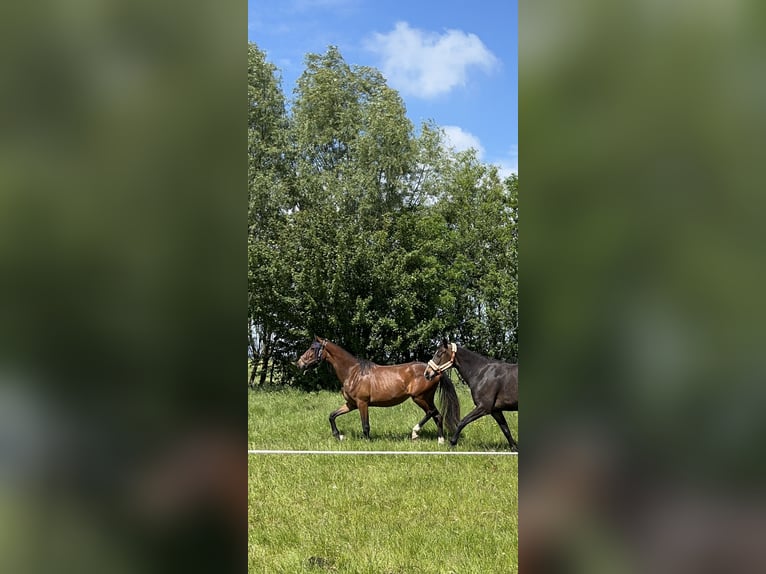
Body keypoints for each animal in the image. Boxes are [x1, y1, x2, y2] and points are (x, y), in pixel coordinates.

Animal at [296, 338, 460, 446]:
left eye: (312, 349)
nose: (299, 363)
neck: (353, 372)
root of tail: (434, 372)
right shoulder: (351, 404)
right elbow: (332, 416)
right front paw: (339, 436)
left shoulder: (362, 403)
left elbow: (365, 425)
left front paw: (367, 442)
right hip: (426, 398)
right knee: (437, 415)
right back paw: (440, 440)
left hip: (419, 397)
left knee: (432, 413)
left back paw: (415, 433)